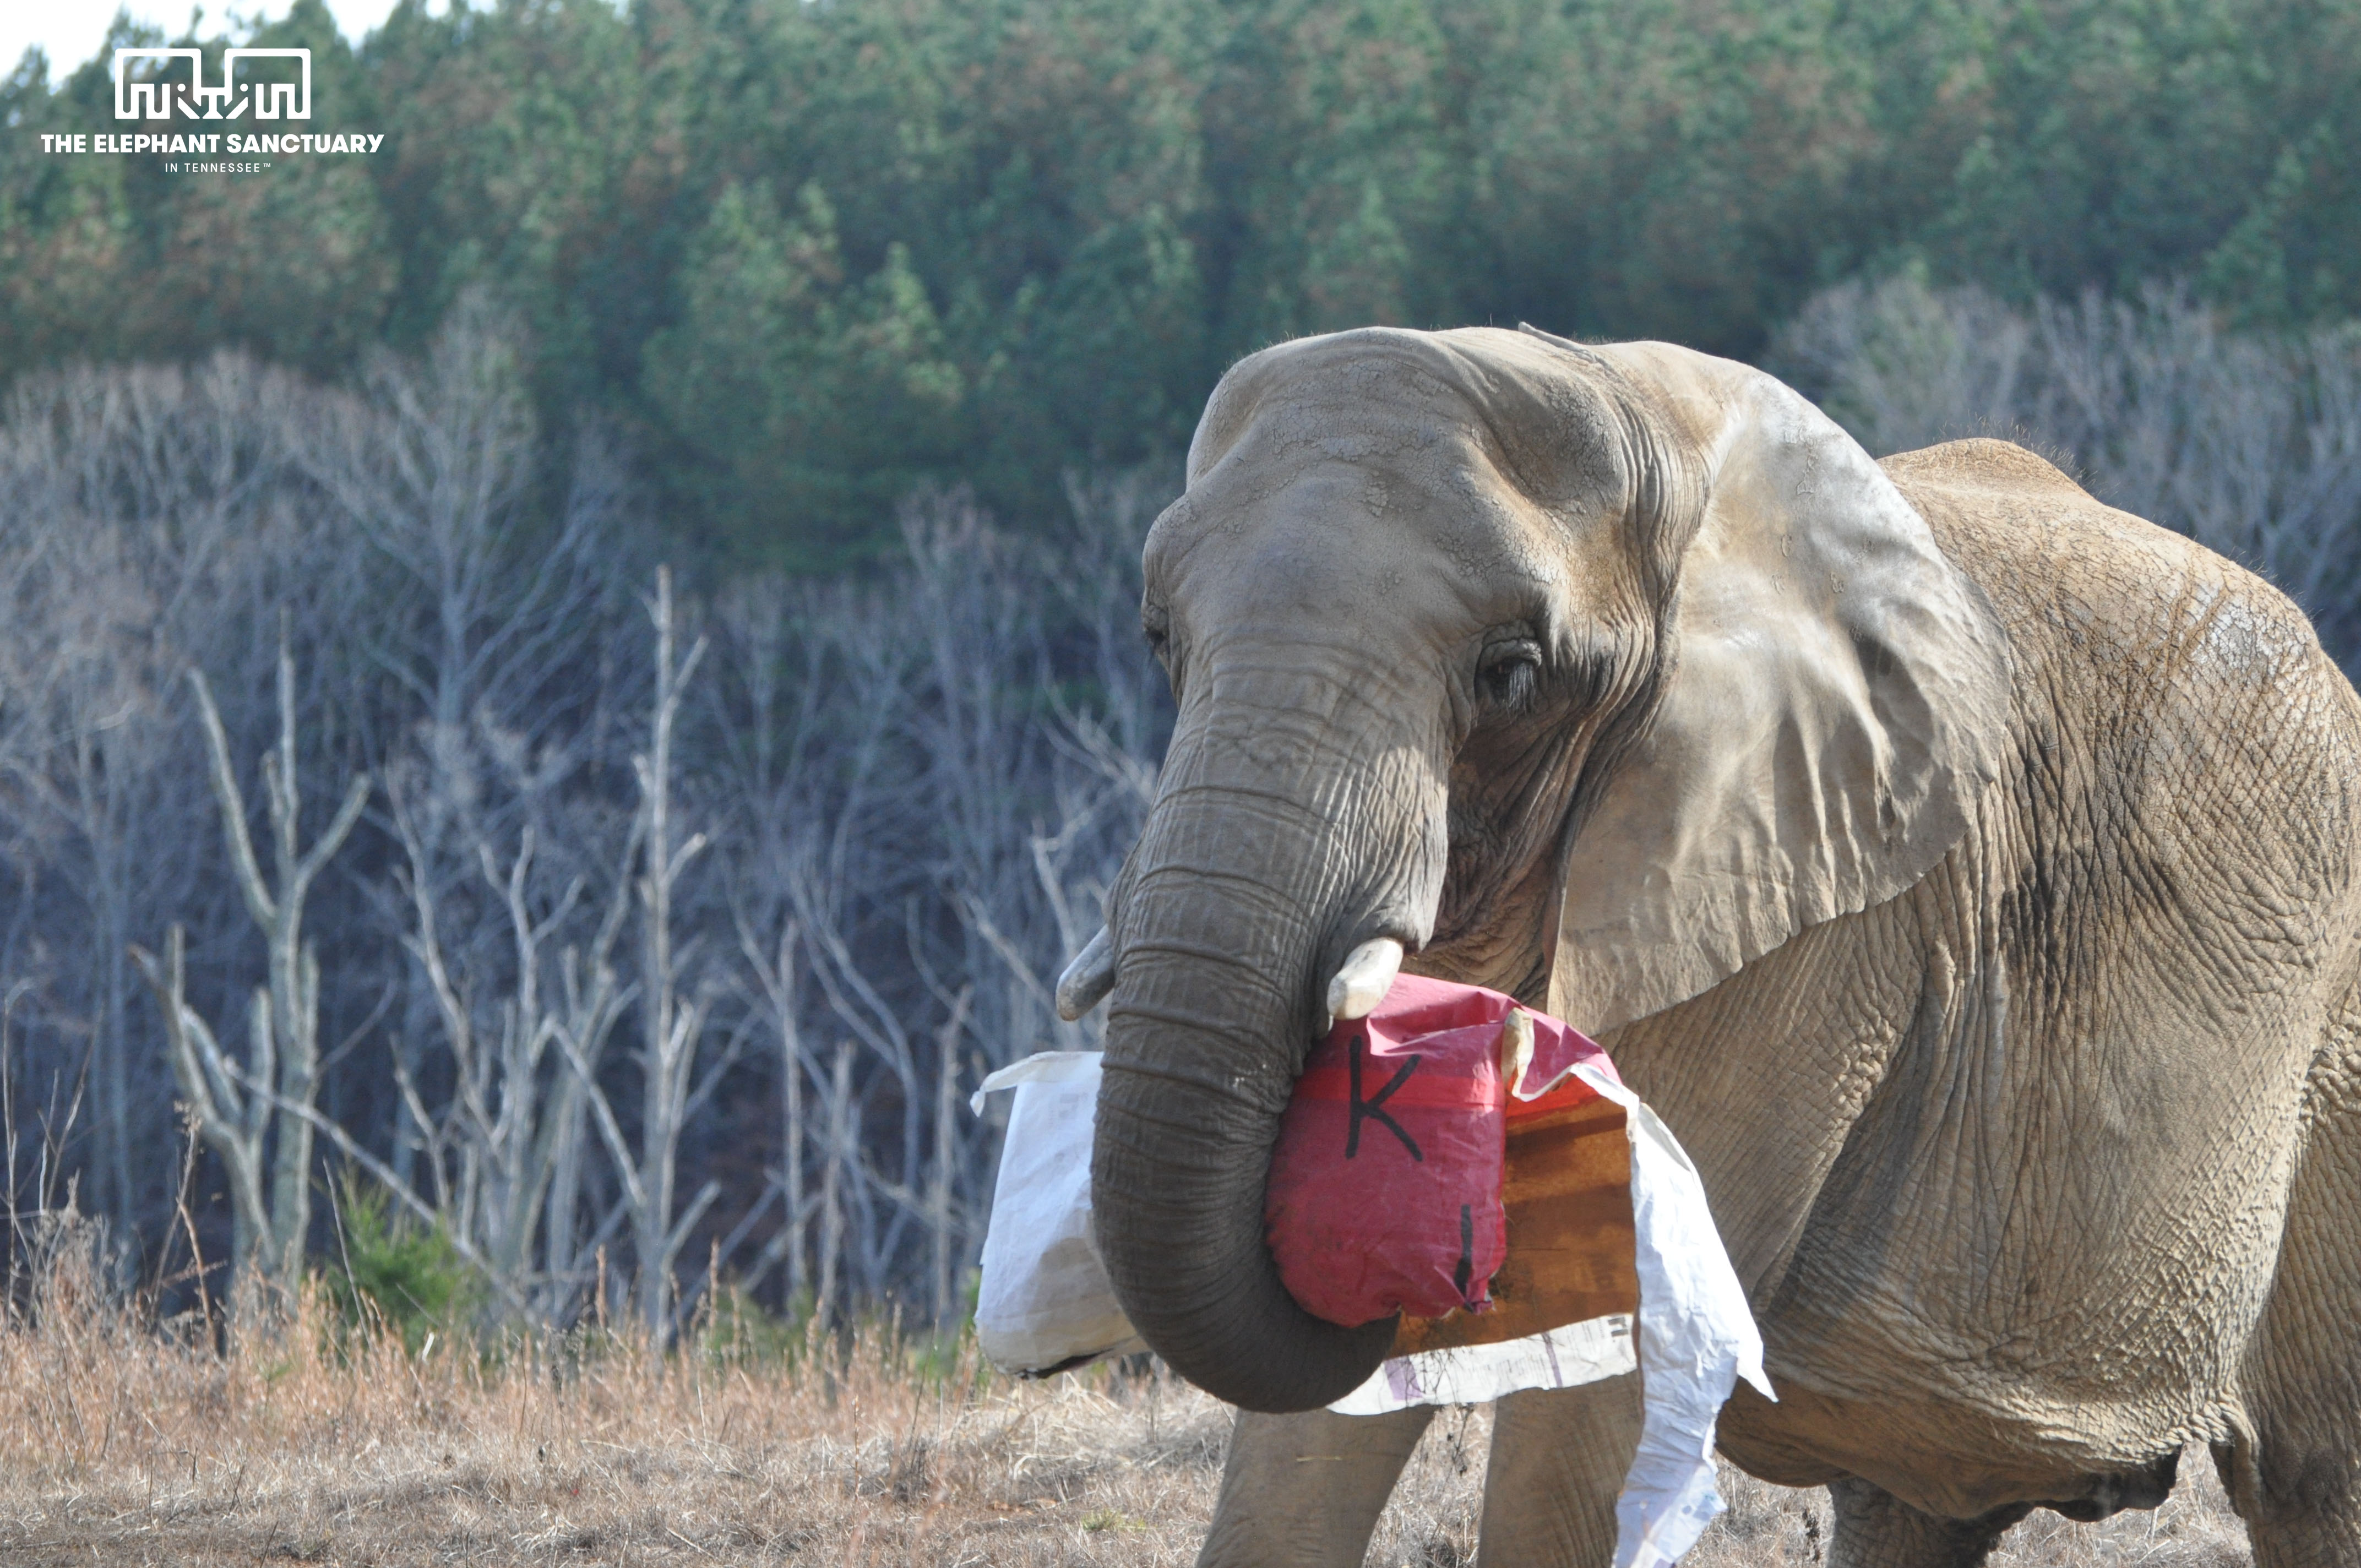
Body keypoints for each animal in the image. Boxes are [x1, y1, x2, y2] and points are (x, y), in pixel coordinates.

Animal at [1058, 324, 2361, 1567]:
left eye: (1509, 671)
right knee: (1911, 1510)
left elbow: (1606, 1383)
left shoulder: (1808, 921)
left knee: (2314, 1476)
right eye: (1159, 637)